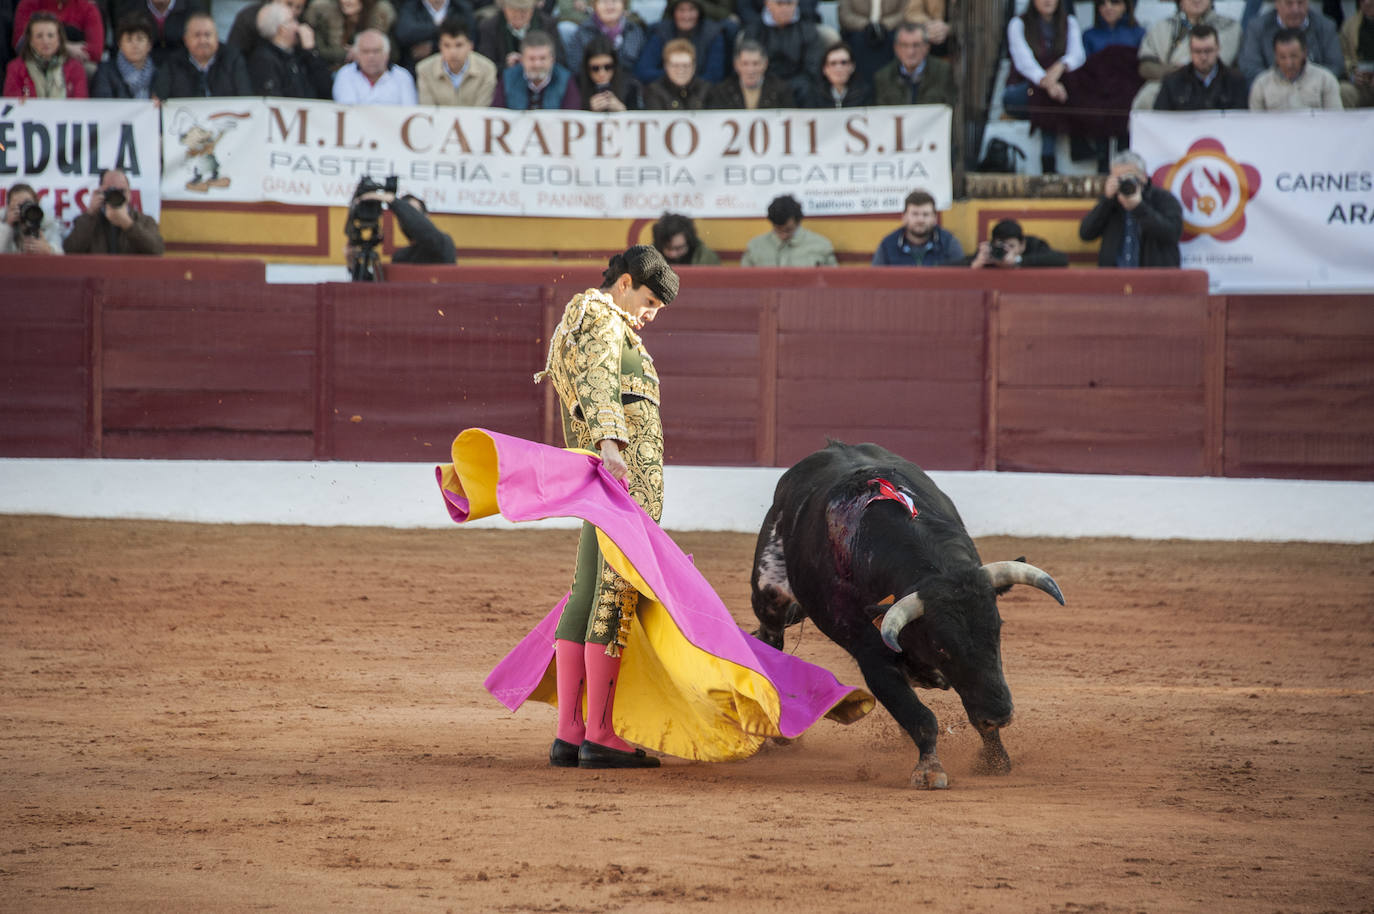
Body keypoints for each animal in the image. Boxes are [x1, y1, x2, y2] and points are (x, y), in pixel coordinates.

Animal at [752, 439, 1060, 786]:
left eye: (997, 632)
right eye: (941, 647)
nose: (999, 714)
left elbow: (968, 696)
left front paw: (995, 760)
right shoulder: (874, 659)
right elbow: (919, 715)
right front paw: (930, 770)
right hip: (771, 595)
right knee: (770, 637)